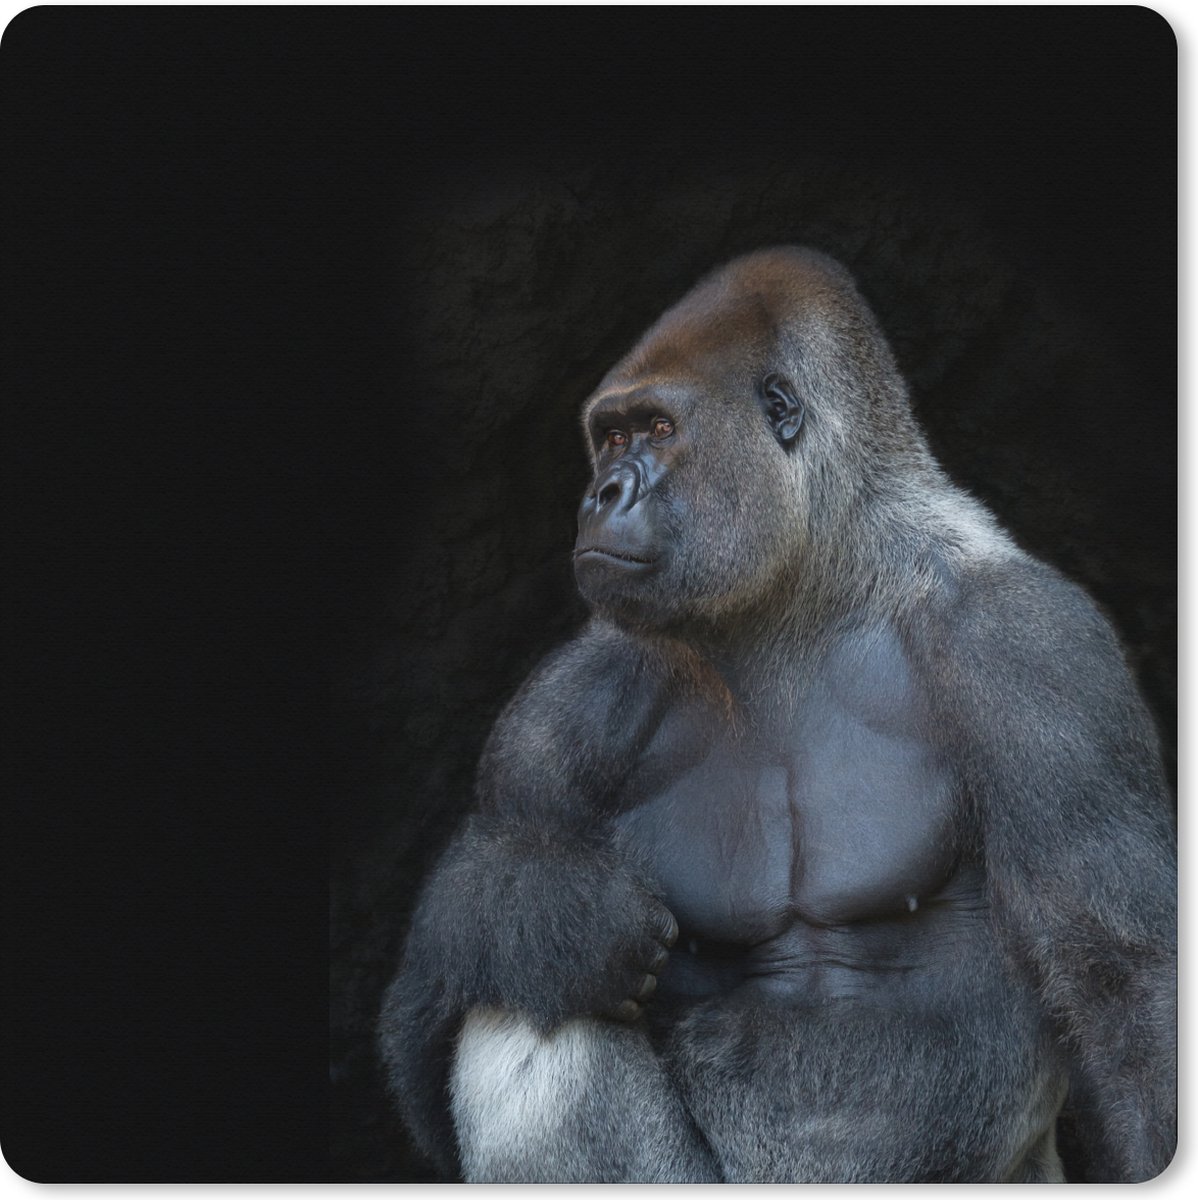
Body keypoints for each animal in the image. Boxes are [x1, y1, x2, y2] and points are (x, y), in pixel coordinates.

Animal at [377, 247, 1176, 1183]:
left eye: (657, 430)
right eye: (609, 437)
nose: (599, 493)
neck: (808, 590)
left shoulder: (1033, 652)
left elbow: (1127, 992)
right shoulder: (558, 717)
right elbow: (430, 1020)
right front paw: (549, 915)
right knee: (527, 1010)